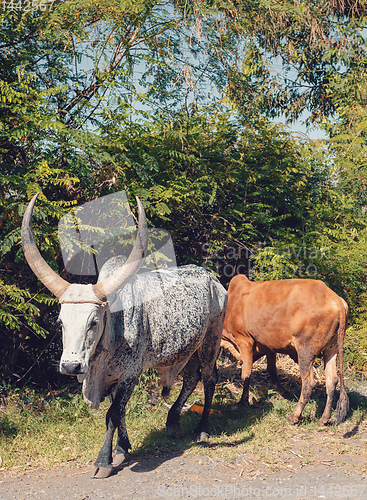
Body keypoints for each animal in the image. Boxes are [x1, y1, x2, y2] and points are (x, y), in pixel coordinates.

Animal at [221, 276, 350, 424]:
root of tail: (334, 298)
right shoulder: (269, 346)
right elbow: (271, 370)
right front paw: (284, 392)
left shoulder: (244, 340)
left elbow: (246, 374)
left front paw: (242, 402)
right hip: (331, 349)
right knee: (332, 380)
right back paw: (324, 418)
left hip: (305, 351)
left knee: (309, 383)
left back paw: (295, 416)